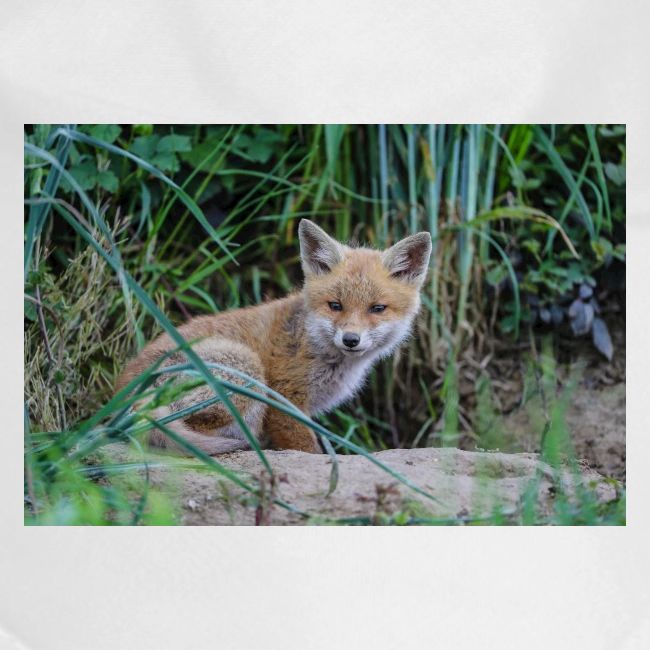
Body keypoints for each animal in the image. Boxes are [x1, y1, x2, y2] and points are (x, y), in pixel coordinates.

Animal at [116, 219, 432, 454]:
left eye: (377, 309)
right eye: (335, 305)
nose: (351, 339)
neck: (313, 344)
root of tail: (124, 394)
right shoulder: (284, 400)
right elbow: (307, 448)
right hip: (246, 369)